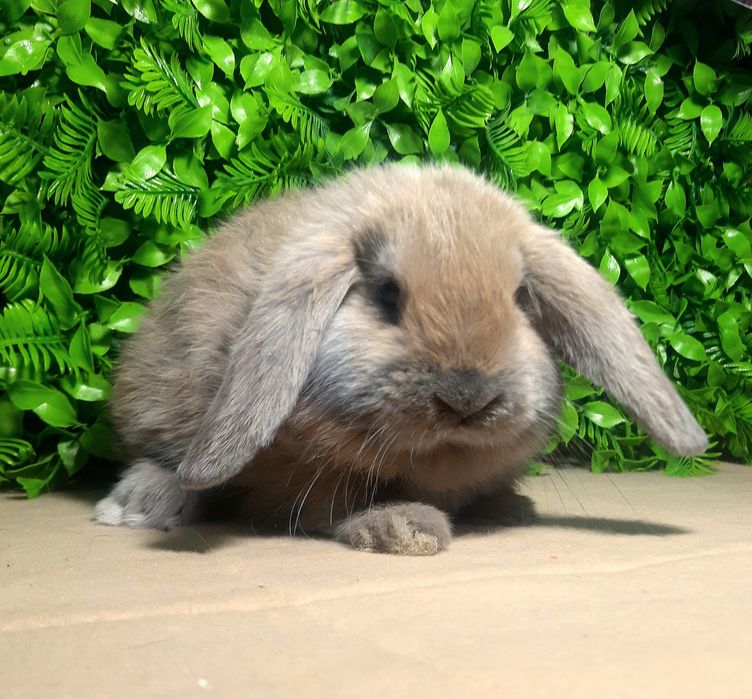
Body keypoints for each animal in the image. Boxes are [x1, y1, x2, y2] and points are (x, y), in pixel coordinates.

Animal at [94, 163, 708, 555]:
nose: (468, 396)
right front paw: (406, 528)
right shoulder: (299, 480)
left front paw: (507, 507)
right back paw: (140, 504)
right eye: (388, 293)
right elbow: (328, 511)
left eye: (519, 297)